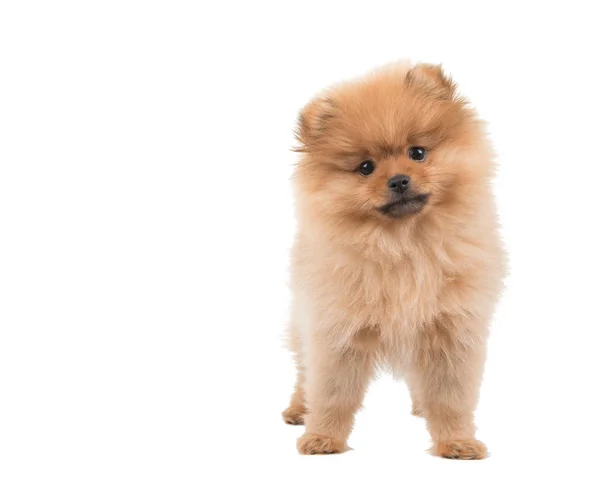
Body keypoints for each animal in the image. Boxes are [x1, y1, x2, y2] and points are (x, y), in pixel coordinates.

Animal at [282, 62, 506, 460]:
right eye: (366, 167)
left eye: (417, 152)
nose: (399, 180)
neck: (404, 244)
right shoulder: (337, 331)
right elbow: (331, 392)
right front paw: (323, 437)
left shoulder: (451, 330)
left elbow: (450, 398)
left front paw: (456, 442)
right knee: (303, 372)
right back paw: (298, 408)